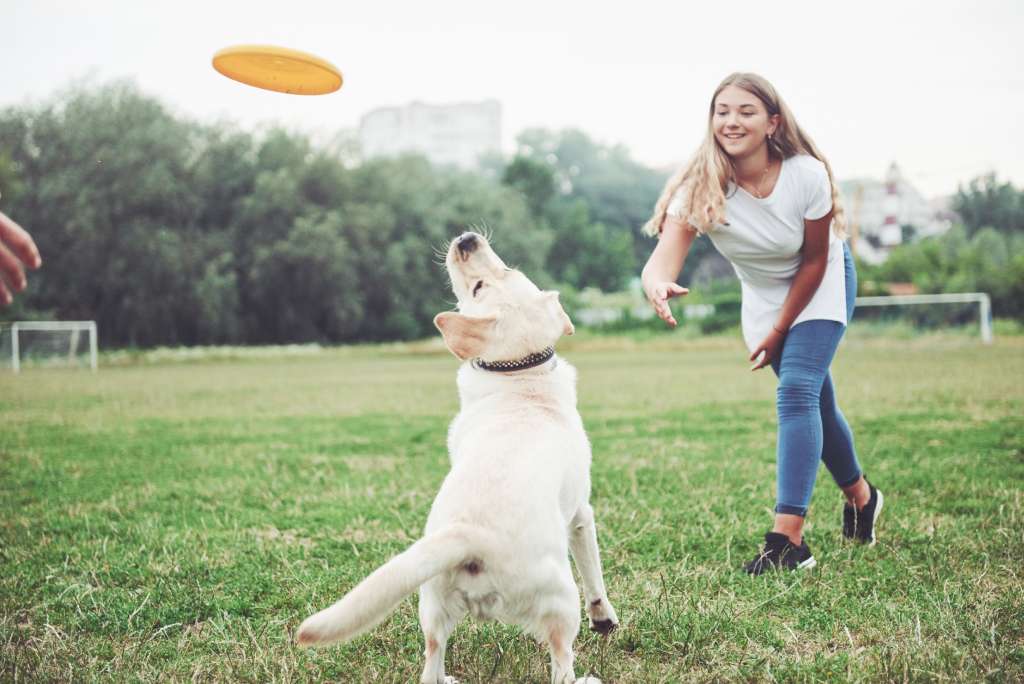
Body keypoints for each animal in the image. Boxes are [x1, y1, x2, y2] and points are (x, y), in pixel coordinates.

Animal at [296, 232, 614, 679]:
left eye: (503, 273)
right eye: (481, 286)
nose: (467, 238)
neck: (521, 377)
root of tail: (470, 535)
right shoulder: (582, 514)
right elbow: (595, 575)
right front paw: (605, 618)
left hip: (431, 605)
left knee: (431, 660)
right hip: (561, 605)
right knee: (561, 666)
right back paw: (585, 678)